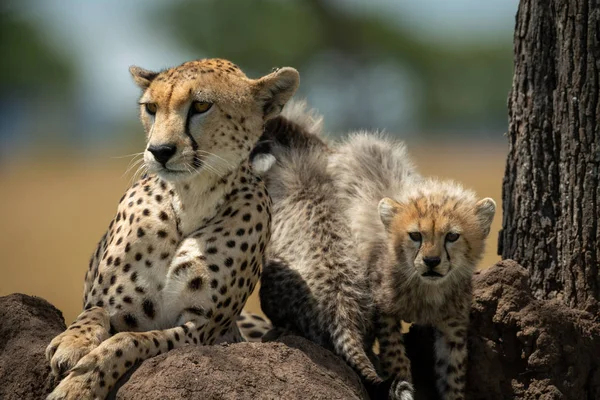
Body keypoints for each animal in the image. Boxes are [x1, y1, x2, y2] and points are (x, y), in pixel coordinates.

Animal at [45, 57, 298, 398]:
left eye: (201, 105)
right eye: (151, 107)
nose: (160, 151)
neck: (190, 198)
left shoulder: (199, 329)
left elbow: (127, 341)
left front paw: (78, 386)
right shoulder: (111, 305)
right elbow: (93, 313)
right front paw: (72, 342)